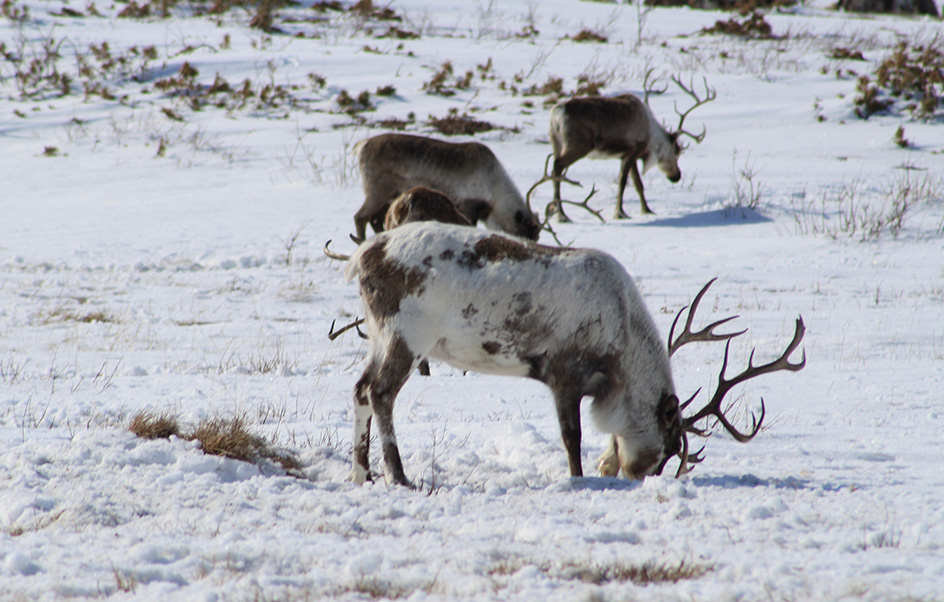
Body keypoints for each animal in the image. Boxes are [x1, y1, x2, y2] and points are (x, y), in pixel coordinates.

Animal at [344, 221, 805, 488]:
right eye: (671, 445)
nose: (640, 477)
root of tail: (361, 256)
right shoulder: (564, 372)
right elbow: (573, 436)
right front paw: (579, 478)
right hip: (408, 333)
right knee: (382, 392)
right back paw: (399, 477)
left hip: (378, 336)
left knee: (360, 388)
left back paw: (361, 473)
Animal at [353, 133, 541, 243]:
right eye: (524, 233)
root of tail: (362, 144)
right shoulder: (469, 205)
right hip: (377, 191)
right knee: (360, 217)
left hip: (389, 198)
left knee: (375, 220)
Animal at [546, 76, 716, 222]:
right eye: (676, 152)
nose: (677, 176)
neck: (651, 135)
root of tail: (556, 114)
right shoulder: (632, 151)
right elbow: (623, 182)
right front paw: (620, 213)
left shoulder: (629, 155)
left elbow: (638, 184)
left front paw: (647, 210)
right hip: (578, 146)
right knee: (557, 166)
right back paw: (561, 215)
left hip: (556, 144)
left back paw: (556, 212)